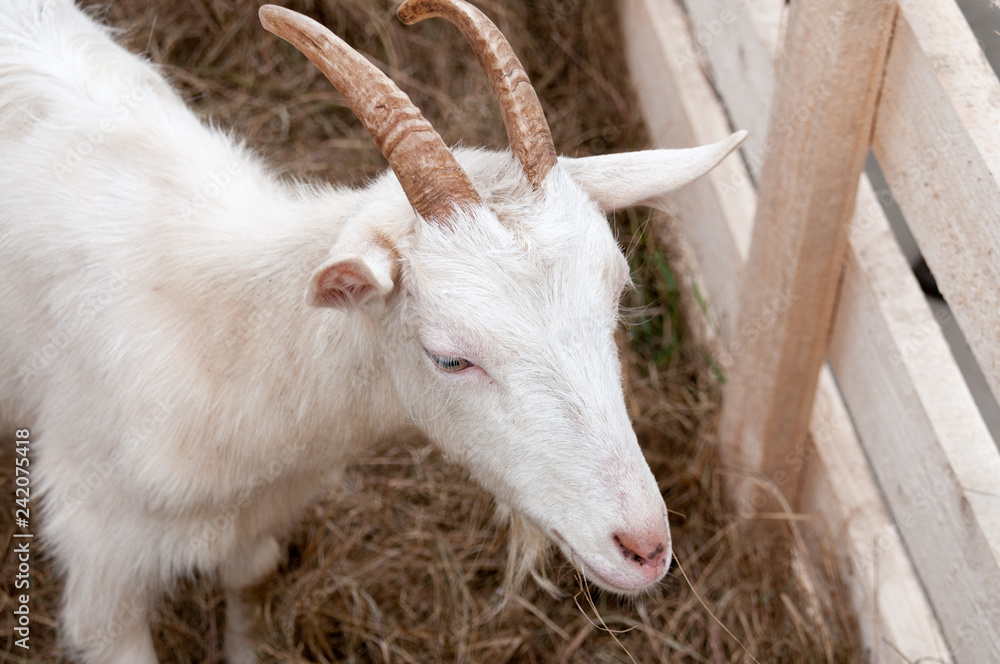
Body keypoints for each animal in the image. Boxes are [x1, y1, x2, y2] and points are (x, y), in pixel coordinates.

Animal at [0, 0, 745, 661]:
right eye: (449, 358)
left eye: (616, 297)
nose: (645, 548)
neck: (216, 331)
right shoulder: (102, 563)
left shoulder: (260, 523)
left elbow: (251, 589)